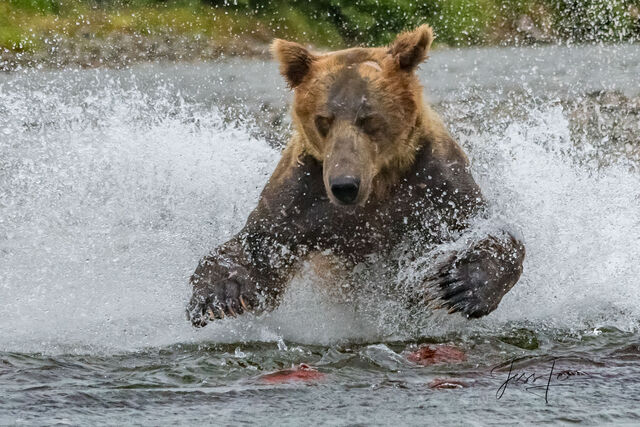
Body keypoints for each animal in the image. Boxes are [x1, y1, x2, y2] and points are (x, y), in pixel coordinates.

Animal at [186, 25, 524, 326]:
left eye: (368, 118)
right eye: (323, 118)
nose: (344, 185)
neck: (378, 183)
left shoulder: (433, 182)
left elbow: (487, 228)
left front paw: (462, 285)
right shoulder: (300, 194)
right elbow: (259, 249)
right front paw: (216, 295)